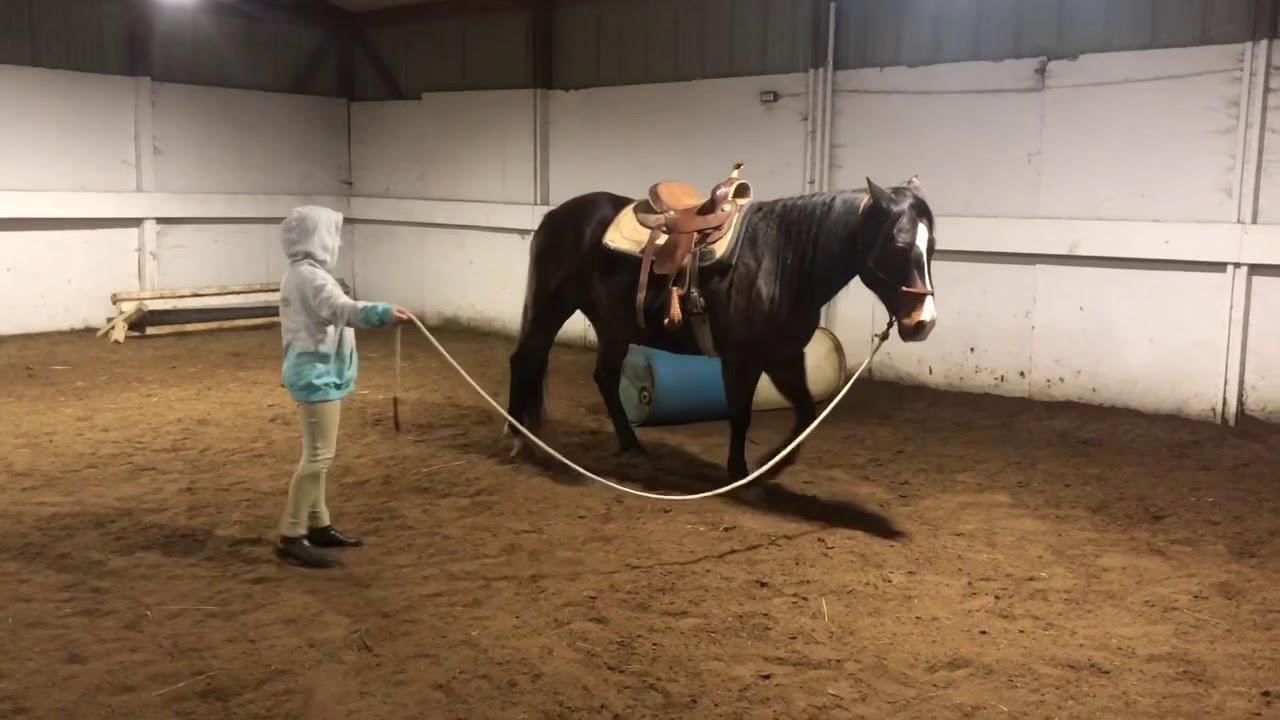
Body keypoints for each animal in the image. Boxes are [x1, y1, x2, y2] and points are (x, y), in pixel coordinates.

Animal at [503, 175, 937, 483]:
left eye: (931, 247)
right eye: (899, 246)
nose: (923, 322)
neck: (780, 261)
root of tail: (554, 217)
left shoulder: (783, 357)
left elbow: (804, 414)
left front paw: (770, 465)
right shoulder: (740, 359)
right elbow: (741, 414)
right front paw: (740, 472)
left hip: (614, 325)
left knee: (605, 377)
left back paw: (630, 444)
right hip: (550, 308)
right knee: (524, 360)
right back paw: (515, 438)